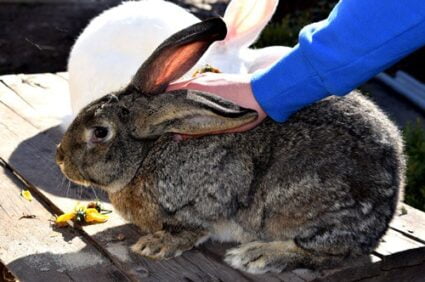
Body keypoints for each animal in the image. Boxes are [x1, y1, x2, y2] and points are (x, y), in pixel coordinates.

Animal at [56, 17, 404, 274]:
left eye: (100, 132)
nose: (60, 157)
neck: (147, 155)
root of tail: (392, 198)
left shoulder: (207, 202)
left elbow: (191, 229)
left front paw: (155, 245)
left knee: (330, 253)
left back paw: (257, 256)